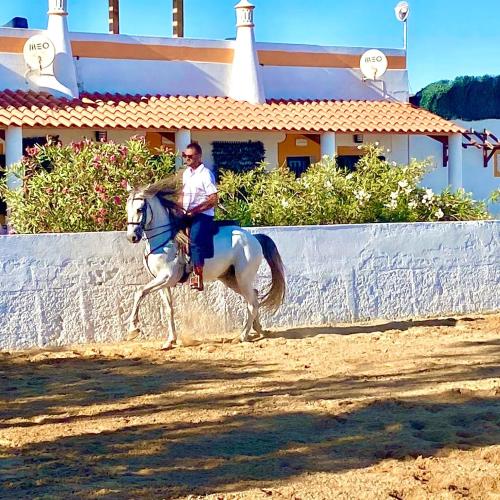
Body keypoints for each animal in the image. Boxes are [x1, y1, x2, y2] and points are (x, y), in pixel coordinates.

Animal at [125, 179, 286, 348]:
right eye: (126, 208)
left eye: (140, 209)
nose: (132, 237)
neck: (165, 240)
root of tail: (254, 238)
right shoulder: (162, 282)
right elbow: (168, 309)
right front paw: (170, 341)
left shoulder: (166, 277)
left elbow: (139, 292)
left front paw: (132, 329)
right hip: (230, 278)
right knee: (253, 296)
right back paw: (258, 329)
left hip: (243, 278)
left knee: (252, 303)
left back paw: (242, 336)